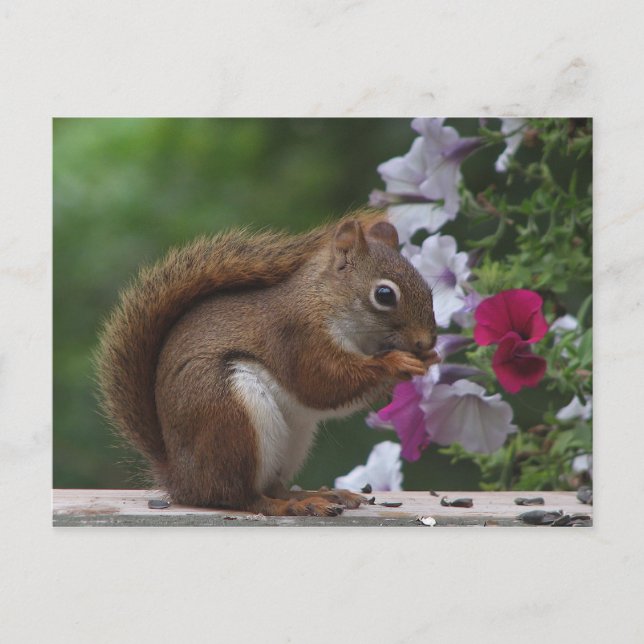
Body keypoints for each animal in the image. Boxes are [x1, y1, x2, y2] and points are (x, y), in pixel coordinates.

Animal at [96, 210, 439, 517]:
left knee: (272, 486)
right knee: (241, 496)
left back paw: (321, 495)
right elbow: (323, 383)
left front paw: (429, 359)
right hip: (230, 416)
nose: (426, 342)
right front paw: (395, 362)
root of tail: (181, 479)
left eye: (429, 288)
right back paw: (293, 505)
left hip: (292, 440)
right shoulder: (298, 337)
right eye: (384, 294)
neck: (325, 300)